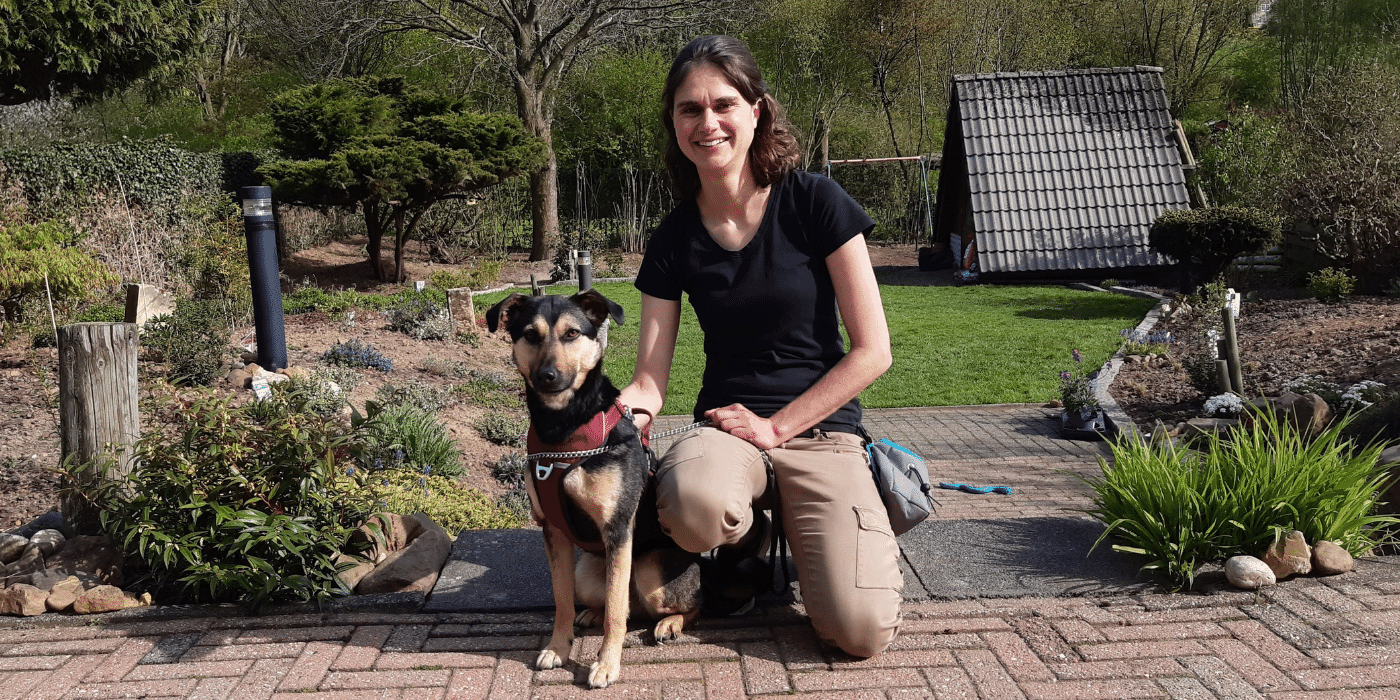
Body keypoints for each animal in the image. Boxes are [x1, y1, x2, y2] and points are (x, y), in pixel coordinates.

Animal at [490, 288, 705, 688]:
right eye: (530, 334)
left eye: (573, 333)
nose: (548, 376)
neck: (563, 431)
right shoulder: (553, 531)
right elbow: (561, 600)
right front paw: (558, 648)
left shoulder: (617, 529)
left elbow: (616, 615)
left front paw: (606, 665)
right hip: (587, 573)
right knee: (613, 602)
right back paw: (590, 613)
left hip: (649, 570)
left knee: (686, 604)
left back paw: (670, 623)